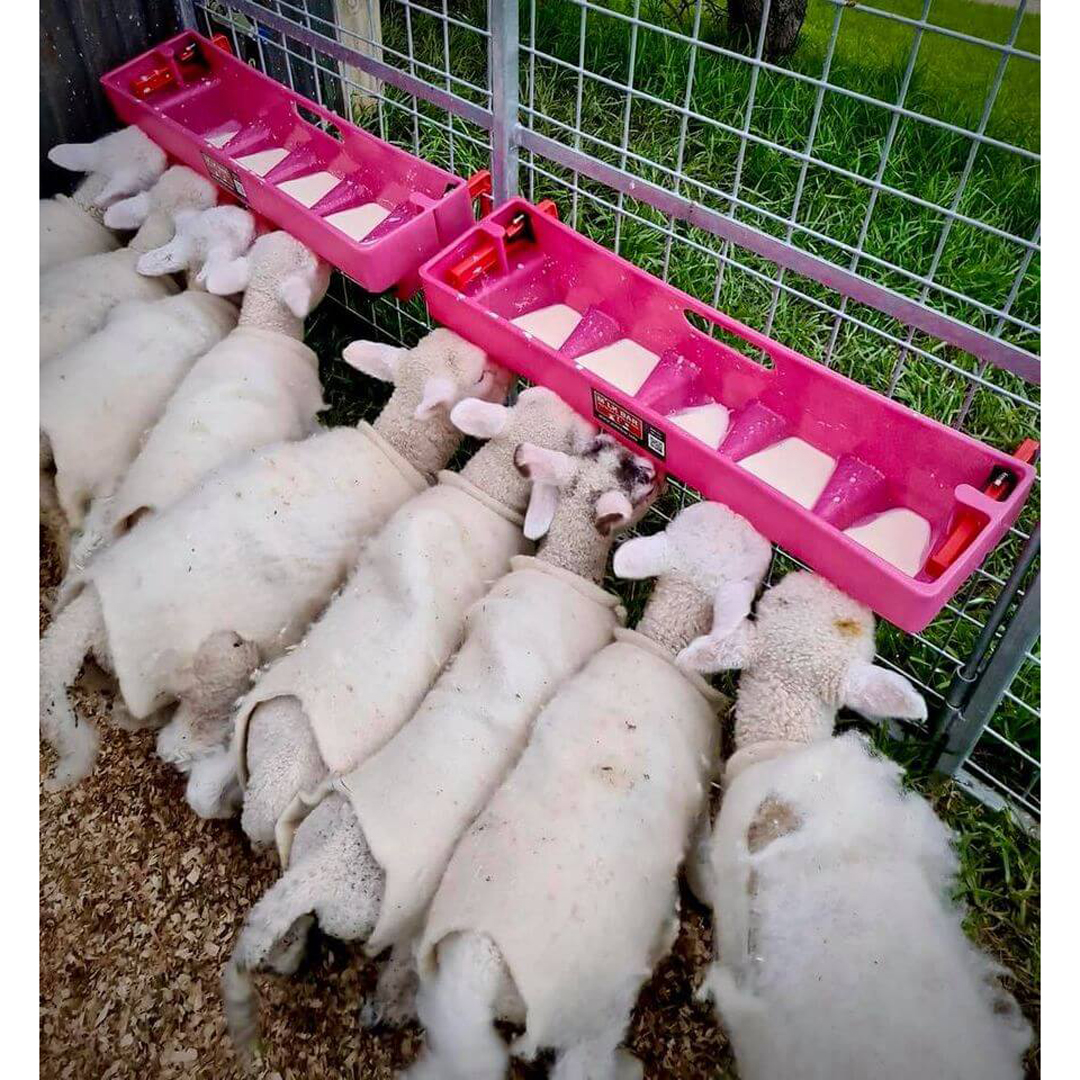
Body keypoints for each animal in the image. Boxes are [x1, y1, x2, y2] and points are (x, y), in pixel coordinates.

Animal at [39, 328, 504, 792]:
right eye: (481, 375)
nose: (501, 369)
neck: (395, 448)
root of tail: (93, 608)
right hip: (211, 667)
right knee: (177, 740)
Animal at [407, 500, 773, 1080]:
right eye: (750, 569)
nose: (762, 534)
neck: (665, 643)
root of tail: (482, 964)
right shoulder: (702, 779)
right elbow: (702, 853)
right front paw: (713, 887)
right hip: (592, 1010)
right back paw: (627, 1066)